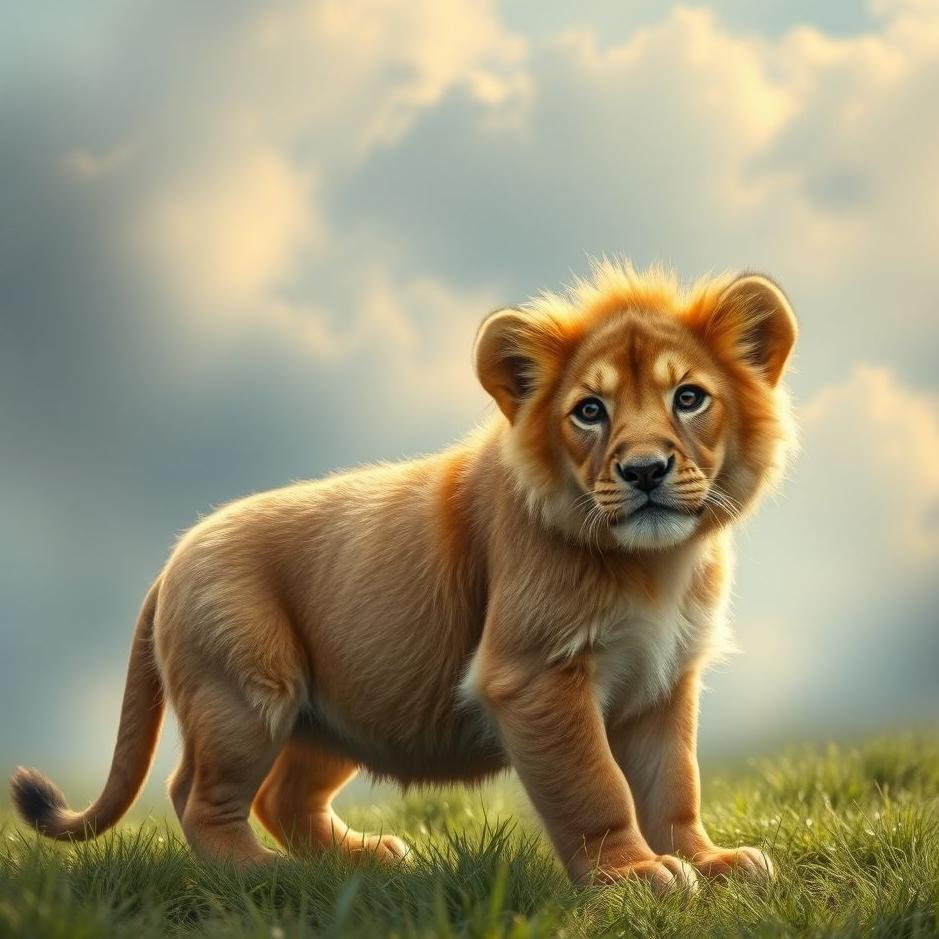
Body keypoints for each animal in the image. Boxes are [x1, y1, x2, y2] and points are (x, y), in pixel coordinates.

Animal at [11, 262, 796, 892]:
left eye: (688, 398)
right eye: (589, 411)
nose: (644, 471)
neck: (655, 563)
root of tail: (172, 556)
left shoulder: (661, 681)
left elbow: (673, 785)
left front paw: (710, 863)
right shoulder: (534, 674)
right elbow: (594, 786)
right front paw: (632, 876)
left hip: (327, 716)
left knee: (283, 799)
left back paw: (362, 860)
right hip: (244, 694)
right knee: (198, 796)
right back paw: (266, 876)